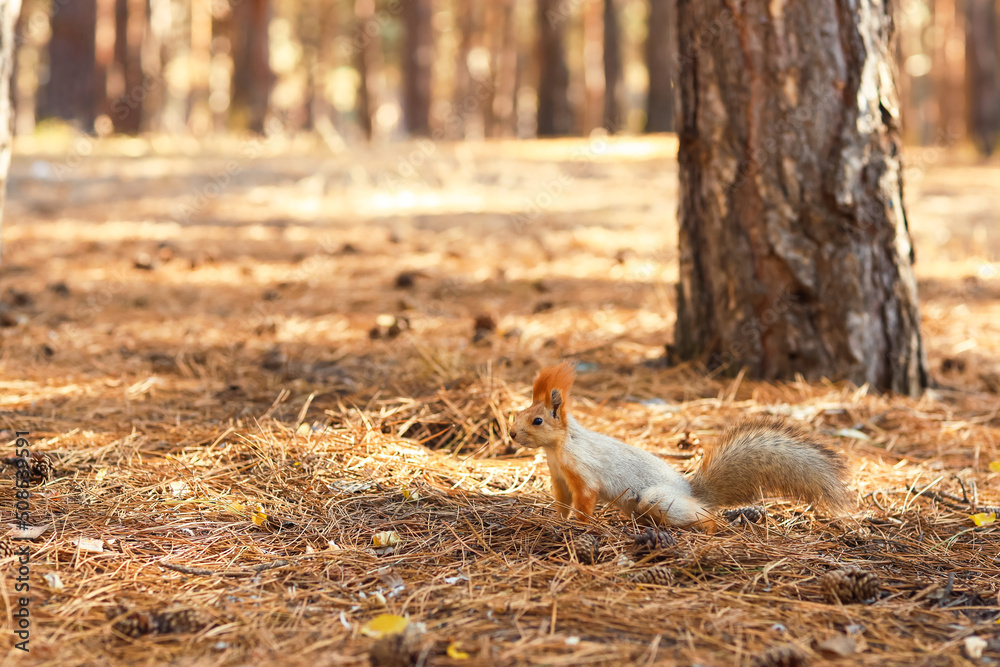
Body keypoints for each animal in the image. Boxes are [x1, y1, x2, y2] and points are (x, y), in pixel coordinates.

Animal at [508, 362, 852, 528]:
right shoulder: (559, 478)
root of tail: (691, 492)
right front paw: (556, 520)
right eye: (521, 412)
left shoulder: (584, 474)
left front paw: (580, 525)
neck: (558, 449)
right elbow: (562, 502)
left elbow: (584, 502)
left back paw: (713, 527)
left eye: (537, 421)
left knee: (707, 518)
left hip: (657, 498)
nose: (511, 434)